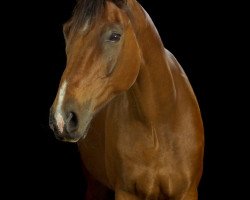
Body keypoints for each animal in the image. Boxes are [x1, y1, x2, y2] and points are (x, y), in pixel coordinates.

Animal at [48, 0, 203, 198]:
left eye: (115, 35)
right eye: (67, 31)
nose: (61, 118)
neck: (157, 125)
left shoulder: (187, 192)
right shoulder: (125, 192)